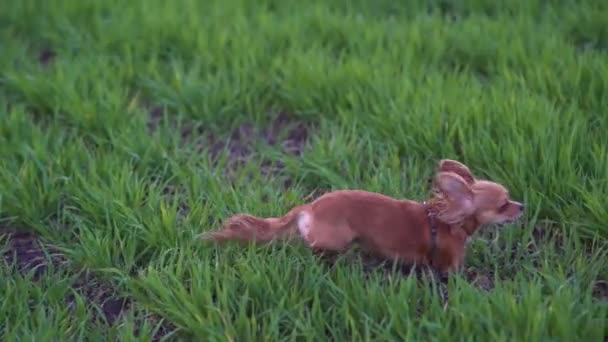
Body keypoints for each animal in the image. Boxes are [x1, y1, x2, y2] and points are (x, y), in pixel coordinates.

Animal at [200, 160, 524, 272]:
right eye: (503, 204)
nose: (522, 206)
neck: (447, 218)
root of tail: (309, 207)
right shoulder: (448, 264)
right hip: (338, 238)